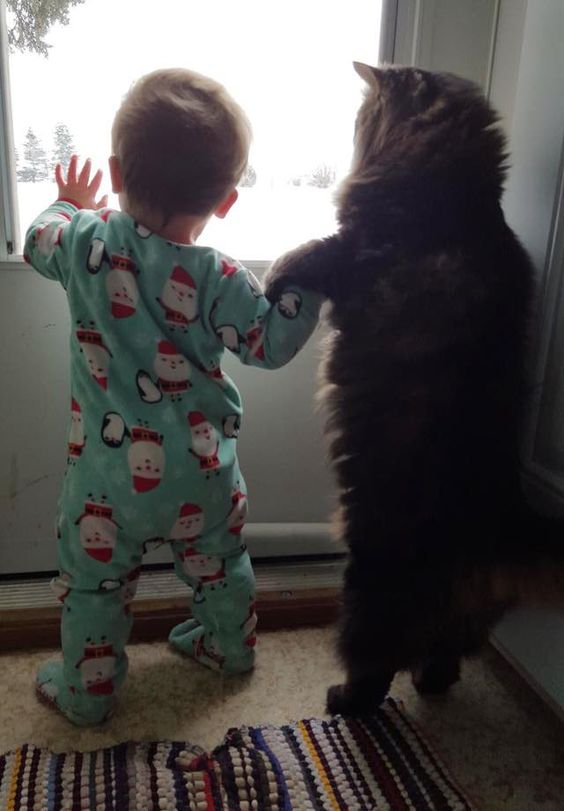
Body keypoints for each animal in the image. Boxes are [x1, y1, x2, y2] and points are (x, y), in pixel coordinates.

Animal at [264, 63, 564, 712]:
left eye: (362, 116)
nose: (352, 129)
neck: (455, 192)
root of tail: (501, 521)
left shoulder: (351, 254)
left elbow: (306, 251)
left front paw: (273, 275)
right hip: (459, 620)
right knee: (444, 660)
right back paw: (429, 684)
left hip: (368, 585)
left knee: (375, 671)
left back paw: (342, 701)